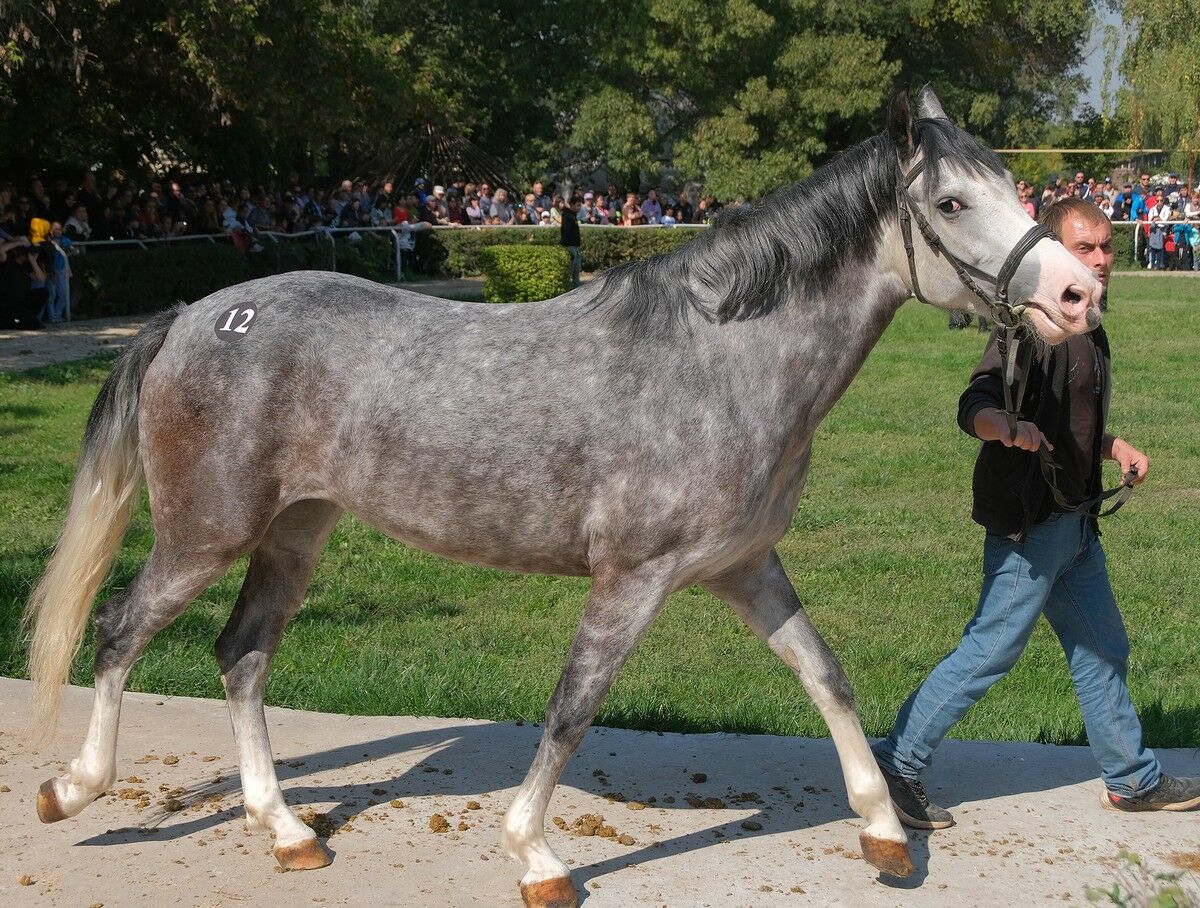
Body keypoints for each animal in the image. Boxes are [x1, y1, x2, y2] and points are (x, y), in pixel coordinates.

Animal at [24, 87, 1101, 908]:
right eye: (954, 203)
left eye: (1015, 187)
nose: (1079, 294)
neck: (718, 360)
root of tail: (194, 314)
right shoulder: (633, 578)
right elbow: (573, 707)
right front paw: (535, 855)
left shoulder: (746, 568)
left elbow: (825, 677)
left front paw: (883, 832)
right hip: (206, 534)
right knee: (119, 630)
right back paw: (73, 790)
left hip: (295, 533)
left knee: (242, 655)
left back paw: (287, 830)